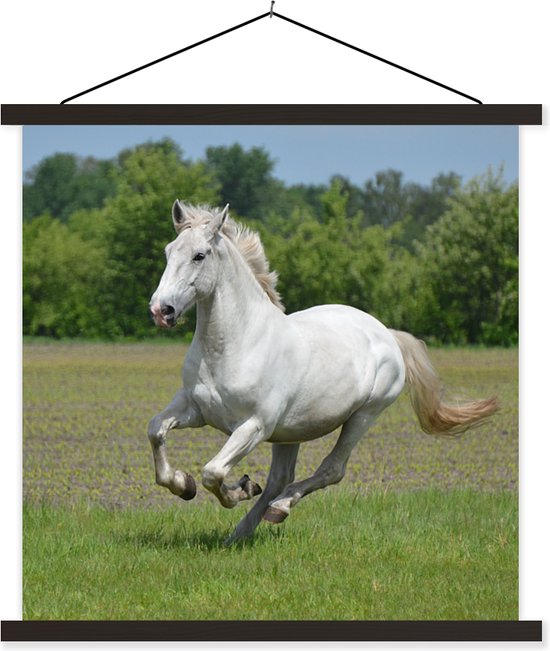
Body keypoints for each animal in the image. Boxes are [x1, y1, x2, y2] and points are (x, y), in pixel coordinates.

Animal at [148, 201, 498, 544]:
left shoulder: (254, 426)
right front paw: (184, 484)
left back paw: (279, 508)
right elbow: (156, 431)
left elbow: (213, 472)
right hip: (290, 432)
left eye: (199, 255)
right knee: (279, 479)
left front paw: (238, 489)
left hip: (363, 416)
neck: (235, 345)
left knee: (330, 470)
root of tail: (387, 333)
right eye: (168, 251)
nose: (161, 310)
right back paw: (241, 532)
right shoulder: (195, 410)